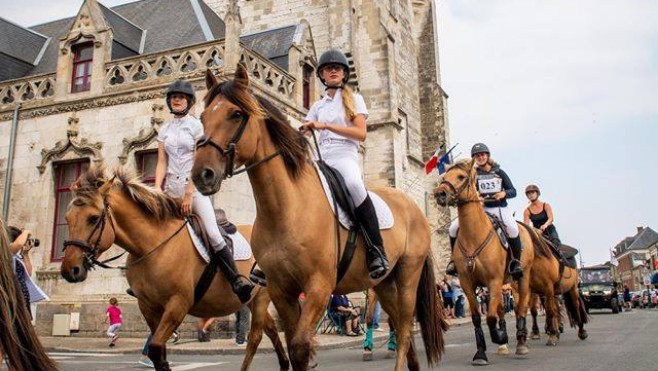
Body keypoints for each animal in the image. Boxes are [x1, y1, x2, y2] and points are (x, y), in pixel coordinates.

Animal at [59, 166, 288, 371]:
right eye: (67, 218)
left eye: (93, 218)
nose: (70, 270)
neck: (154, 245)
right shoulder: (148, 306)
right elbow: (158, 351)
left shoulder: (178, 303)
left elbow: (156, 347)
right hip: (250, 299)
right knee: (271, 329)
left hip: (261, 296)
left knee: (256, 337)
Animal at [190, 65, 446, 370]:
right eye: (203, 117)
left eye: (236, 114)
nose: (201, 174)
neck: (287, 209)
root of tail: (413, 206)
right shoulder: (280, 290)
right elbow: (293, 347)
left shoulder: (319, 286)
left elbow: (300, 346)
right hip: (382, 283)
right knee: (397, 323)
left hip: (408, 274)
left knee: (406, 327)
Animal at [434, 158, 536, 364]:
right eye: (444, 176)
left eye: (461, 177)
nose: (440, 194)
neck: (474, 234)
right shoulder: (467, 283)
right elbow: (477, 317)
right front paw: (481, 352)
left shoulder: (493, 281)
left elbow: (489, 317)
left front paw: (499, 337)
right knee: (503, 309)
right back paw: (505, 345)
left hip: (521, 277)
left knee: (521, 307)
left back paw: (520, 342)